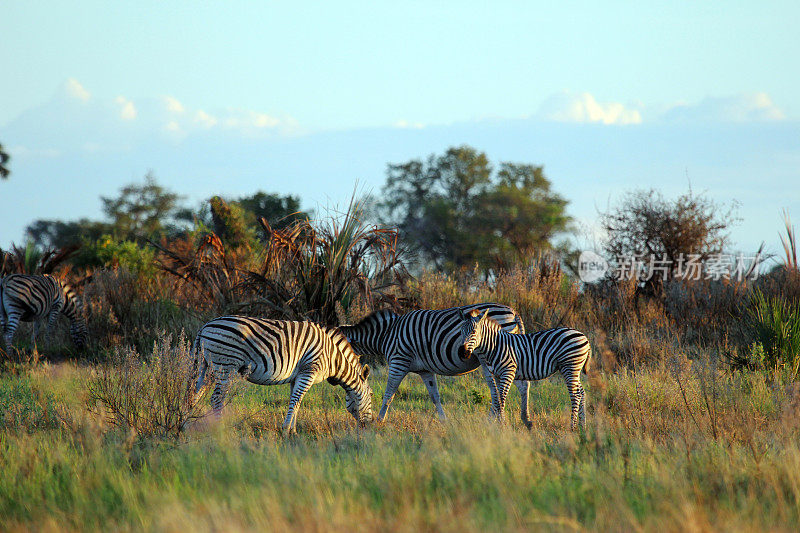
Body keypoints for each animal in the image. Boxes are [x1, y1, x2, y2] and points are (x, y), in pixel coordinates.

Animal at [192, 316, 374, 432]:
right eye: (372, 394)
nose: (371, 424)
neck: (332, 357)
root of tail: (205, 326)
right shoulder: (309, 371)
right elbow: (296, 400)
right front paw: (286, 430)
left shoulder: (297, 375)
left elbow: (296, 401)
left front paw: (292, 430)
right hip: (226, 365)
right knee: (216, 398)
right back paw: (221, 429)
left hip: (206, 367)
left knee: (196, 393)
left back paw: (189, 421)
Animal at [340, 304, 532, 424]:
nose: (358, 420)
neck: (387, 333)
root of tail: (513, 312)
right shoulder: (425, 370)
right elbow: (434, 396)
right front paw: (444, 421)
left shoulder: (398, 361)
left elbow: (389, 394)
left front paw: (380, 420)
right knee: (522, 385)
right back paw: (524, 418)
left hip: (495, 357)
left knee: (498, 389)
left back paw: (495, 418)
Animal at [460, 310, 592, 430]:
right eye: (461, 332)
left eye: (473, 332)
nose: (463, 353)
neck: (494, 346)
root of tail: (584, 336)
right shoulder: (497, 375)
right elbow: (498, 399)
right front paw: (499, 424)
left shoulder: (508, 372)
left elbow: (502, 398)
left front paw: (502, 426)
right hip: (573, 369)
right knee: (581, 392)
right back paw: (582, 427)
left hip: (570, 366)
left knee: (575, 395)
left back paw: (572, 428)